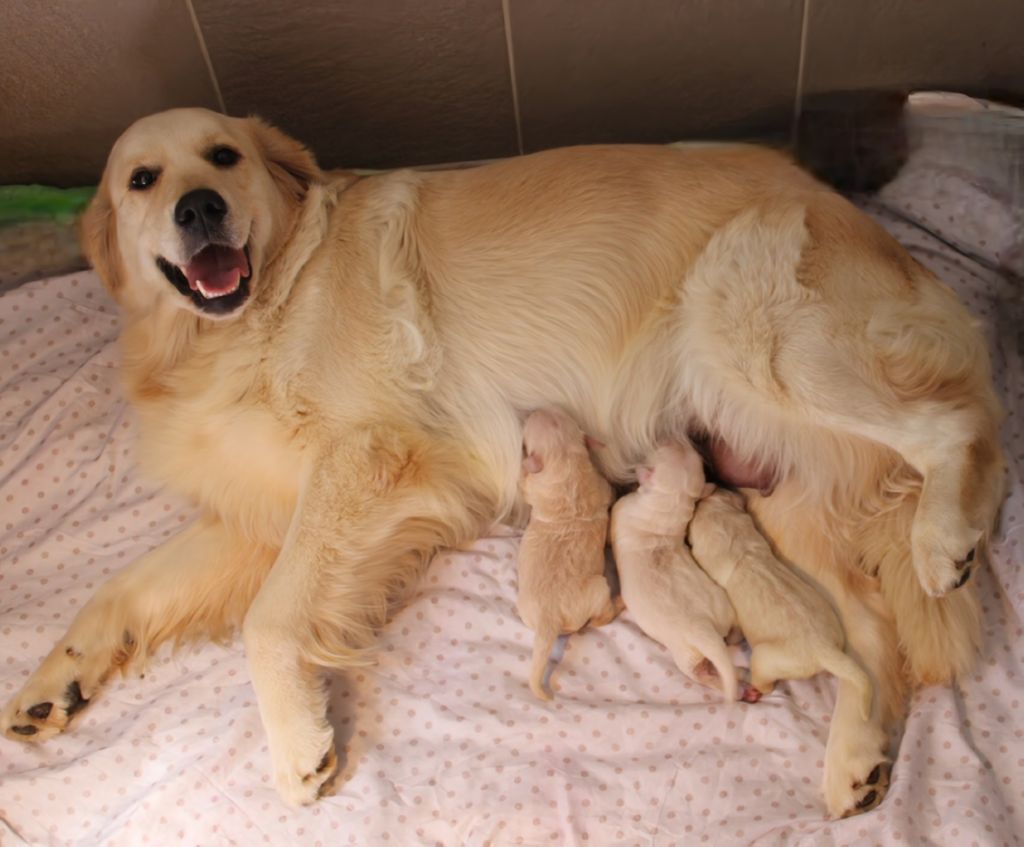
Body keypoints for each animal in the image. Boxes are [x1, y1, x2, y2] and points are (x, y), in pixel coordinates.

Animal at [606, 440, 737, 700]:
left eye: (660, 452)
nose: (676, 440)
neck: (666, 509)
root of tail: (703, 627)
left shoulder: (621, 508)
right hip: (722, 606)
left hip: (684, 653)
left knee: (698, 673)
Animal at [688, 489, 872, 721]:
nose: (697, 503)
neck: (744, 554)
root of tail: (825, 650)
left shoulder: (736, 621)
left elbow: (735, 633)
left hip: (764, 658)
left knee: (765, 685)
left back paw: (747, 681)